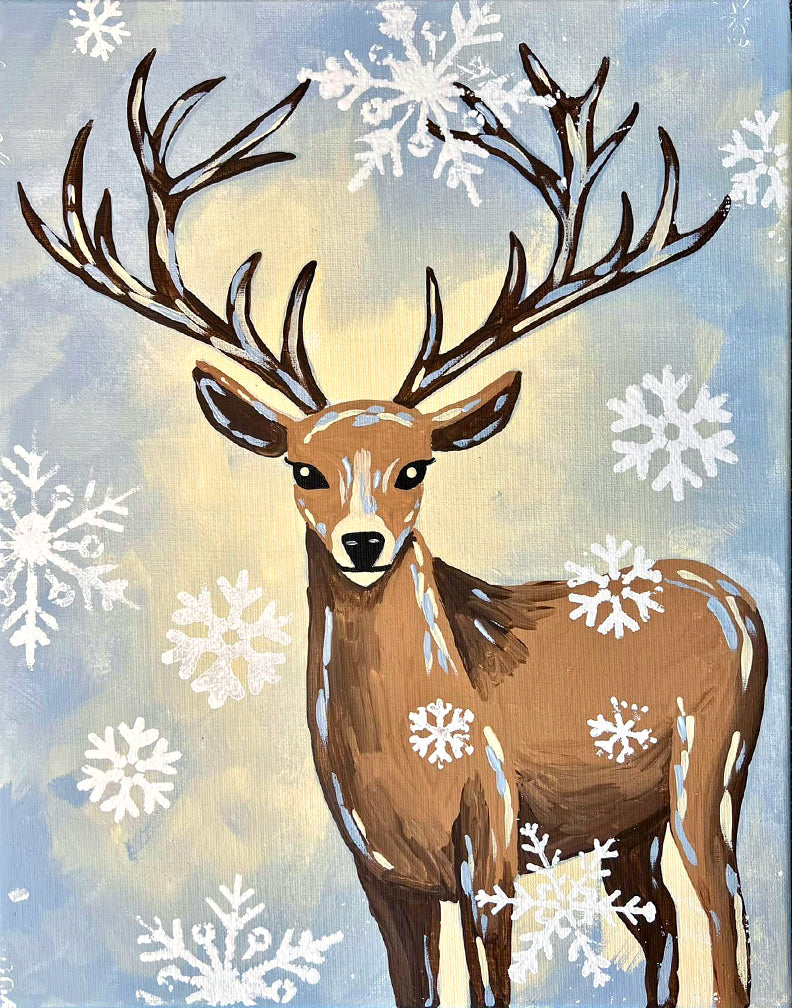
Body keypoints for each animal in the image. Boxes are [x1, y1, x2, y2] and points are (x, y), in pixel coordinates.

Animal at [17, 46, 768, 1008]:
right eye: (303, 468)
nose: (365, 543)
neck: (409, 760)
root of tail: (738, 597)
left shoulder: (492, 839)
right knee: (662, 922)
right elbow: (415, 990)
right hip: (620, 828)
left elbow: (492, 991)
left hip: (710, 773)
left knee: (727, 921)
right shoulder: (381, 874)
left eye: (418, 466)